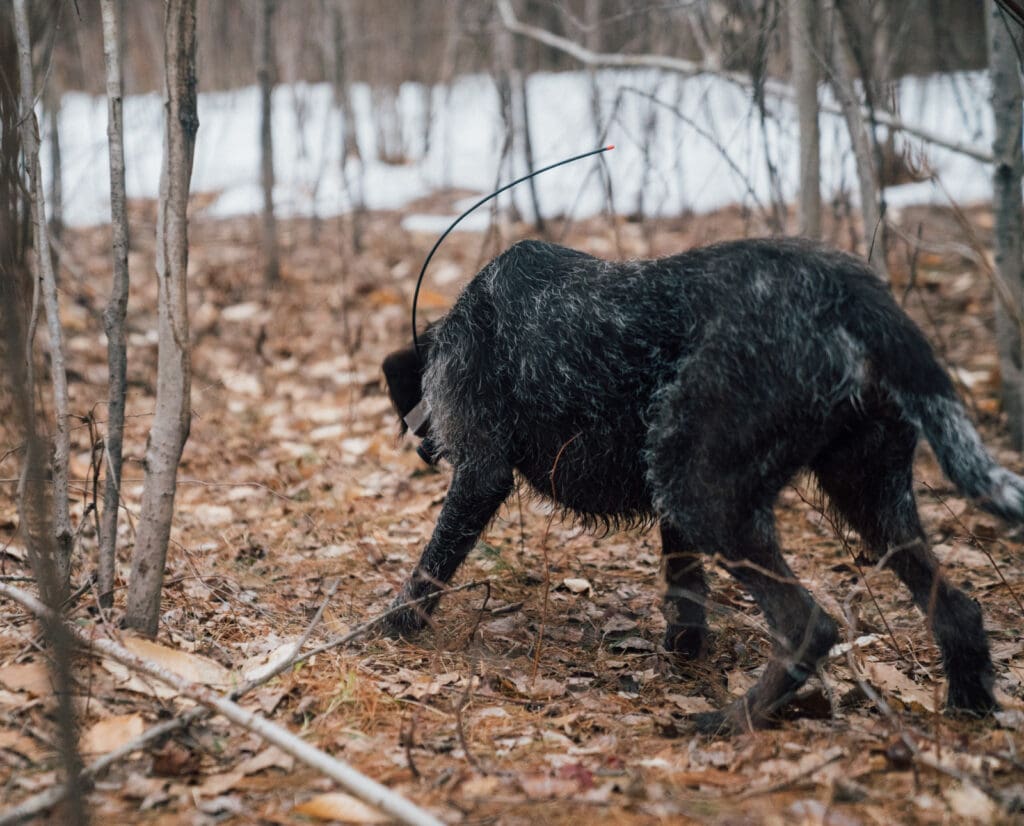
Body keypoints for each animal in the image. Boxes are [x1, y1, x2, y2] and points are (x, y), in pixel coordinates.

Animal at [380, 235, 1019, 732]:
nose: (422, 447)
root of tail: (855, 294)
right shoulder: (672, 513)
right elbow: (686, 595)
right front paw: (683, 655)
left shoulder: (481, 475)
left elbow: (430, 567)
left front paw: (388, 629)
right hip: (865, 491)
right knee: (959, 610)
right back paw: (968, 710)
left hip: (705, 491)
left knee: (807, 625)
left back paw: (732, 721)